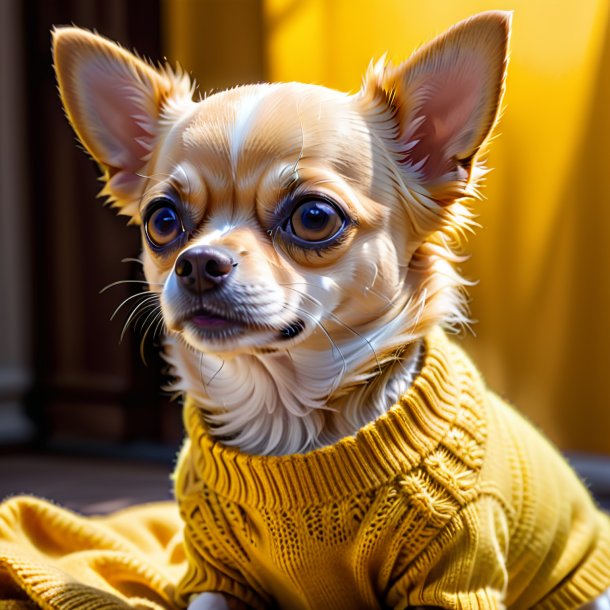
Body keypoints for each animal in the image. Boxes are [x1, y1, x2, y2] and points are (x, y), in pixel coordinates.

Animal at [52, 13, 608, 608]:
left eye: (314, 217)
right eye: (162, 221)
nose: (198, 262)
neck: (287, 421)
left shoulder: (457, 574)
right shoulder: (213, 574)